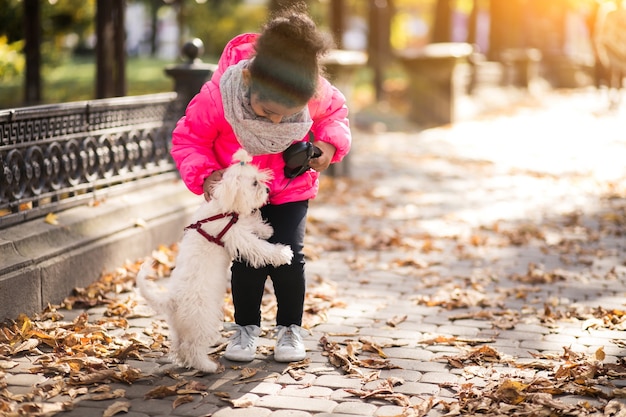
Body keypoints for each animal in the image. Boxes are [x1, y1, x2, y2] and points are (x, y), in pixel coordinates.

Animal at [135, 149, 292, 370]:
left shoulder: (239, 224)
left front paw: (265, 228)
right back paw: (207, 366)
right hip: (204, 320)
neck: (221, 209)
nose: (268, 190)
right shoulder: (238, 237)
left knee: (180, 345)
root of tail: (171, 300)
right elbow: (260, 246)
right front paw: (283, 253)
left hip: (181, 326)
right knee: (192, 346)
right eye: (254, 183)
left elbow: (249, 222)